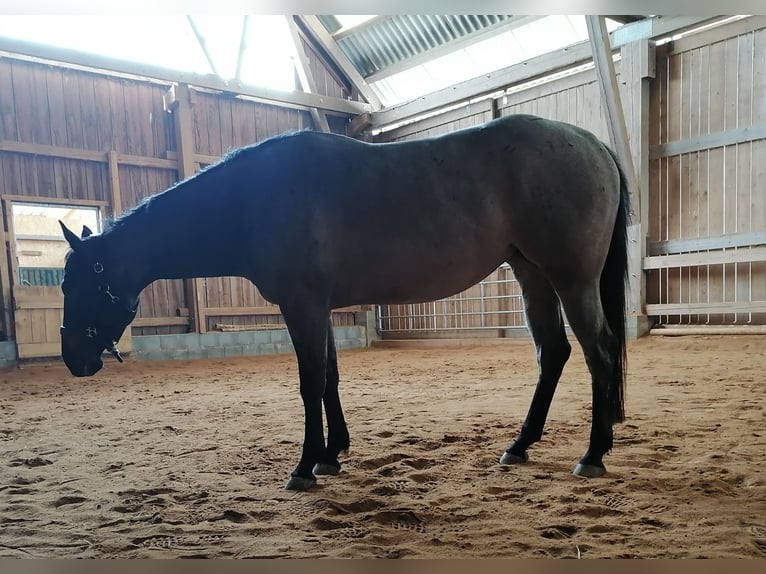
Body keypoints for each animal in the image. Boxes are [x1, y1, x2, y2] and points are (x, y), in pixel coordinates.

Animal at [59, 113, 629, 491]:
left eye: (78, 287)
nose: (74, 360)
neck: (252, 199)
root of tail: (590, 142)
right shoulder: (321, 307)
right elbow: (330, 377)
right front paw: (332, 455)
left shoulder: (302, 304)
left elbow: (310, 381)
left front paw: (303, 468)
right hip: (533, 275)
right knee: (553, 352)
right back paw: (520, 445)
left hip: (572, 278)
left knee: (599, 351)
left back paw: (593, 454)